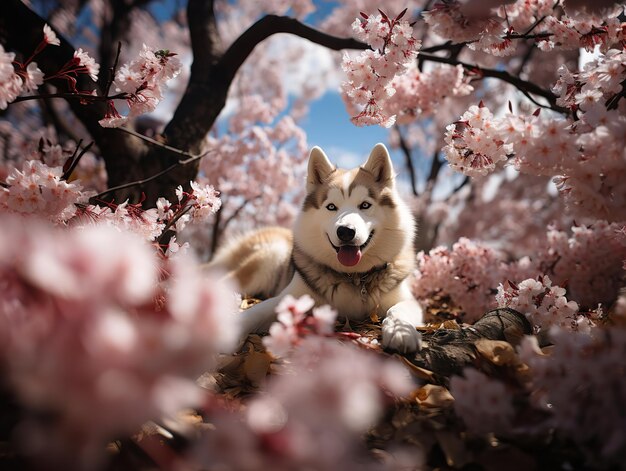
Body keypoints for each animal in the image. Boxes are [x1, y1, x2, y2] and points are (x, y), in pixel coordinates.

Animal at [211, 144, 424, 354]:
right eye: (331, 207)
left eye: (365, 205)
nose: (345, 231)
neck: (353, 277)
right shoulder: (288, 298)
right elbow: (254, 312)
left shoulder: (407, 299)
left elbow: (399, 309)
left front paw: (400, 331)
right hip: (271, 255)